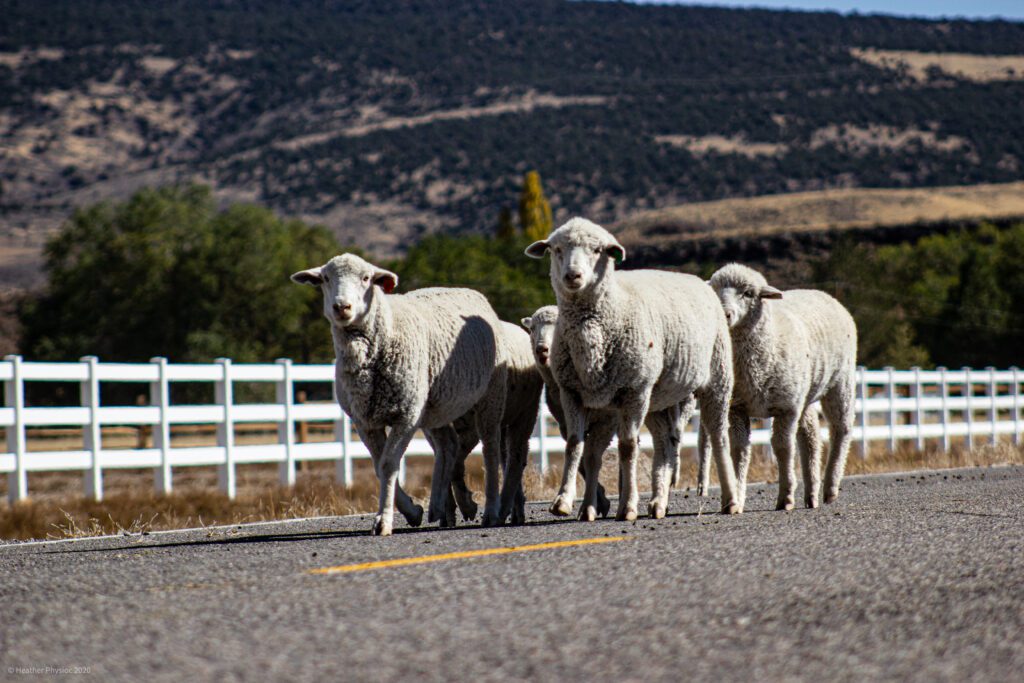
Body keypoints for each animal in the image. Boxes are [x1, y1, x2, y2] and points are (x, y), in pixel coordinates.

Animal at [291, 253, 508, 536]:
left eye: (366, 278)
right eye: (325, 278)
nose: (342, 307)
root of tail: (472, 292)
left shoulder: (405, 415)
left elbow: (388, 464)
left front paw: (383, 521)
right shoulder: (364, 420)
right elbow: (377, 466)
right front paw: (412, 511)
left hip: (489, 395)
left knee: (490, 448)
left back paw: (490, 510)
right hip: (434, 407)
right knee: (449, 446)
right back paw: (444, 507)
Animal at [525, 218, 740, 521]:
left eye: (597, 250)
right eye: (556, 249)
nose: (572, 276)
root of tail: (699, 280)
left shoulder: (633, 391)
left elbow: (627, 447)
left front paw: (626, 506)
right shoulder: (574, 394)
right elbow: (575, 445)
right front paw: (566, 501)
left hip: (715, 377)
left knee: (719, 436)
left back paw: (731, 499)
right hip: (658, 398)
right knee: (665, 443)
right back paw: (659, 502)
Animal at [704, 263, 857, 510]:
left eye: (748, 293)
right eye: (715, 291)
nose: (725, 314)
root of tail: (823, 293)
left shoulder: (787, 407)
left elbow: (783, 447)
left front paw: (786, 496)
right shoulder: (737, 408)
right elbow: (739, 450)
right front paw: (737, 498)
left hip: (841, 382)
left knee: (840, 429)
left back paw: (830, 488)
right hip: (804, 393)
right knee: (811, 436)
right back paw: (811, 494)